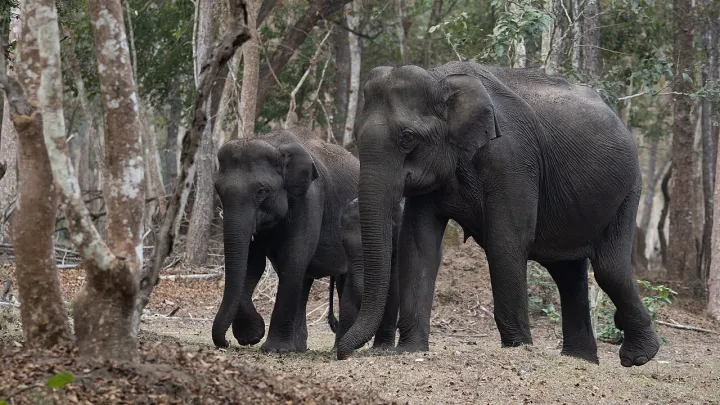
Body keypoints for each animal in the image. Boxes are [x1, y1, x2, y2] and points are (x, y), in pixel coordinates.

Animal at [335, 61, 660, 368]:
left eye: (407, 138)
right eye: (356, 135)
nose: (341, 354)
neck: (441, 78)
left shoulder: (512, 159)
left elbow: (506, 240)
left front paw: (518, 348)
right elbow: (419, 243)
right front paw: (410, 351)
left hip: (628, 189)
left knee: (608, 268)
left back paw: (637, 357)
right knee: (567, 274)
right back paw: (580, 360)